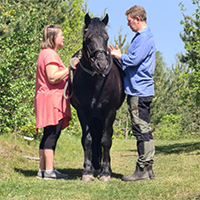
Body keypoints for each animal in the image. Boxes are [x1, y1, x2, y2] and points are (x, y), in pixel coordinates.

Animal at [70, 12, 125, 181]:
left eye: (106, 37)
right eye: (88, 38)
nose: (101, 65)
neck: (96, 83)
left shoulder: (109, 112)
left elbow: (106, 140)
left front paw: (106, 172)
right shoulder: (82, 112)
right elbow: (88, 140)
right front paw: (88, 171)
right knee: (94, 138)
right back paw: (94, 167)